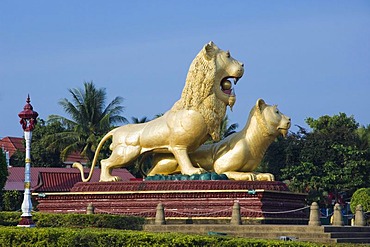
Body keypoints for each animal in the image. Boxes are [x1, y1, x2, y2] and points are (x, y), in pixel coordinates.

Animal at [73, 42, 244, 181]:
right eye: (228, 55)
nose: (243, 64)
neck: (200, 106)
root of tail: (115, 131)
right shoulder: (179, 145)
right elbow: (184, 160)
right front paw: (193, 171)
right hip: (127, 152)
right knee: (105, 162)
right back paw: (109, 179)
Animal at [149, 99, 290, 181]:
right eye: (277, 112)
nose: (289, 119)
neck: (255, 143)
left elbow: (258, 172)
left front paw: (265, 175)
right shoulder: (220, 167)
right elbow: (231, 173)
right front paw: (248, 176)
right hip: (168, 162)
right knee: (151, 174)